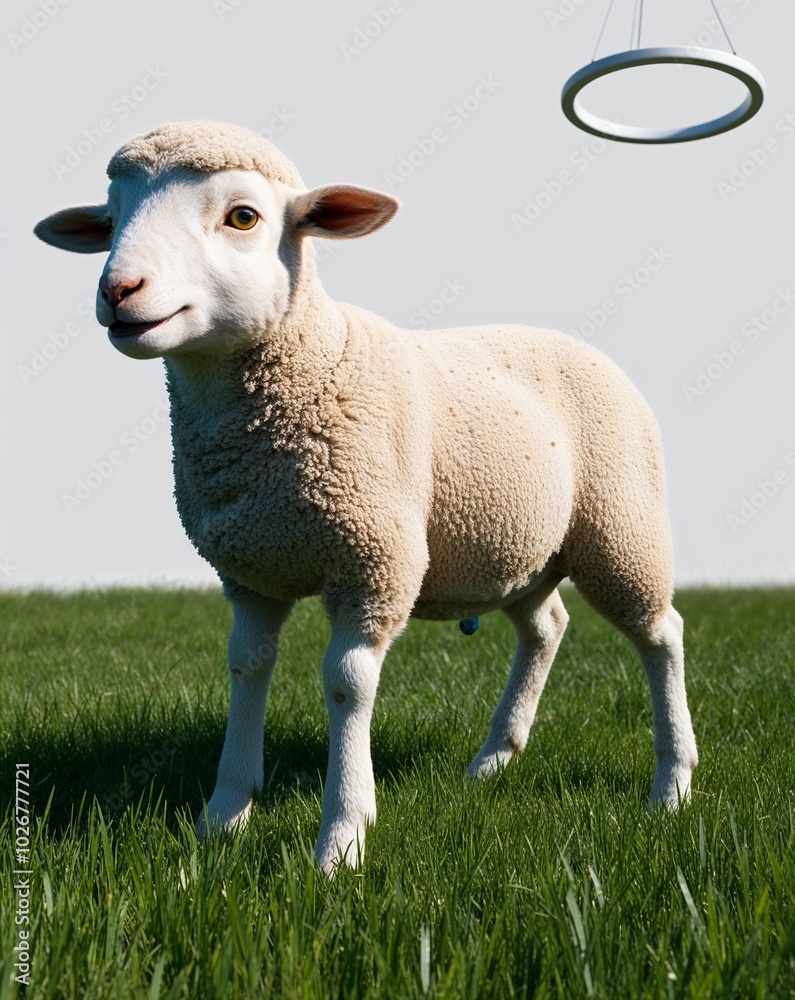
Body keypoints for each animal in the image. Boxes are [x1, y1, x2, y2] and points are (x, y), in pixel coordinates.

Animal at [34, 120, 698, 872]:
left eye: (243, 216)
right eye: (111, 217)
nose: (119, 290)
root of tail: (577, 342)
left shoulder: (371, 565)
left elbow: (346, 683)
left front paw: (342, 837)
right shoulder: (250, 572)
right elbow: (245, 668)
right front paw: (222, 818)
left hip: (620, 525)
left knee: (661, 634)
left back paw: (671, 785)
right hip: (513, 546)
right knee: (545, 627)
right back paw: (493, 760)